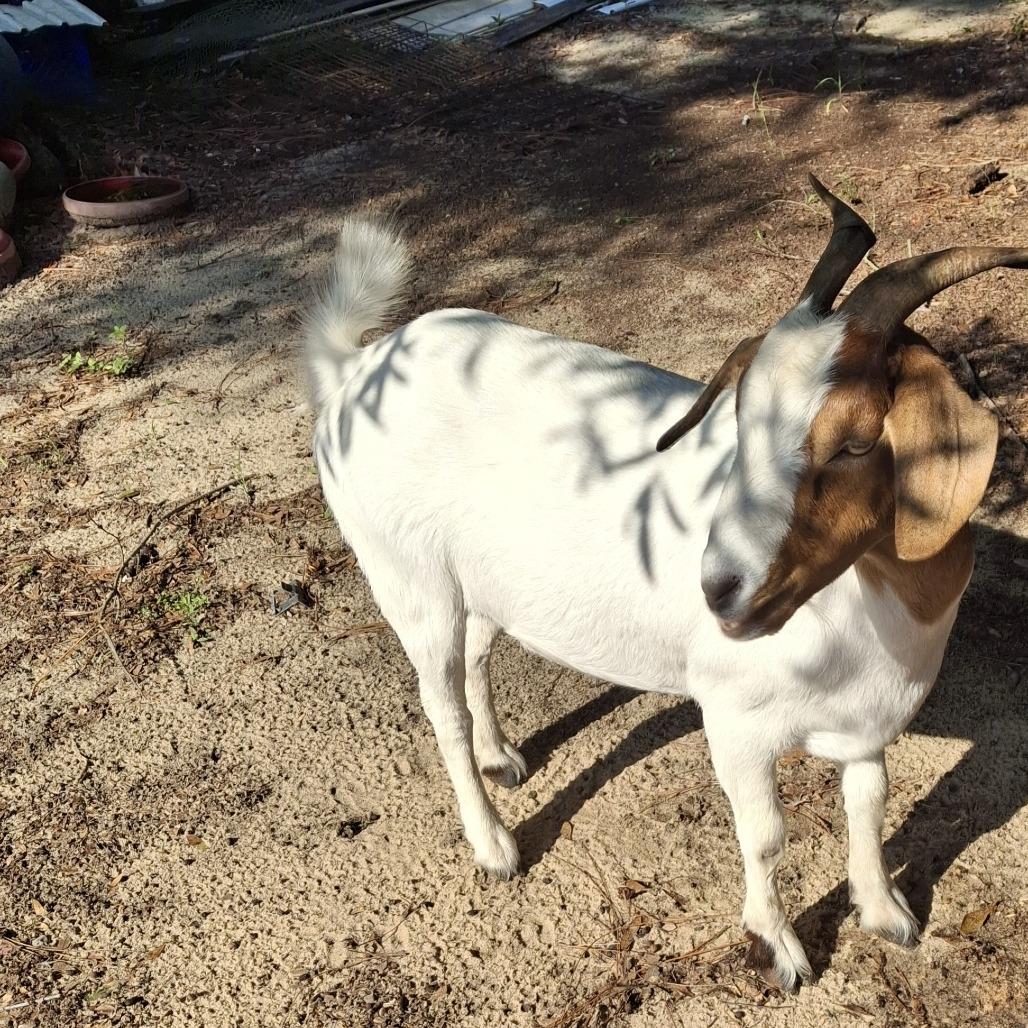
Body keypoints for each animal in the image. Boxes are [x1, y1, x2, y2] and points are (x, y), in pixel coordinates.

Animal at [305, 177, 1020, 990]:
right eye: (739, 421)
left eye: (859, 442)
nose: (720, 589)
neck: (876, 613)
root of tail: (356, 372)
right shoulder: (737, 721)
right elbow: (766, 834)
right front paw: (780, 949)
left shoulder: (868, 722)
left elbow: (870, 804)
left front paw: (886, 913)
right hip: (408, 576)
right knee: (441, 707)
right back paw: (493, 845)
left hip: (477, 580)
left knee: (477, 659)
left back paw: (502, 758)